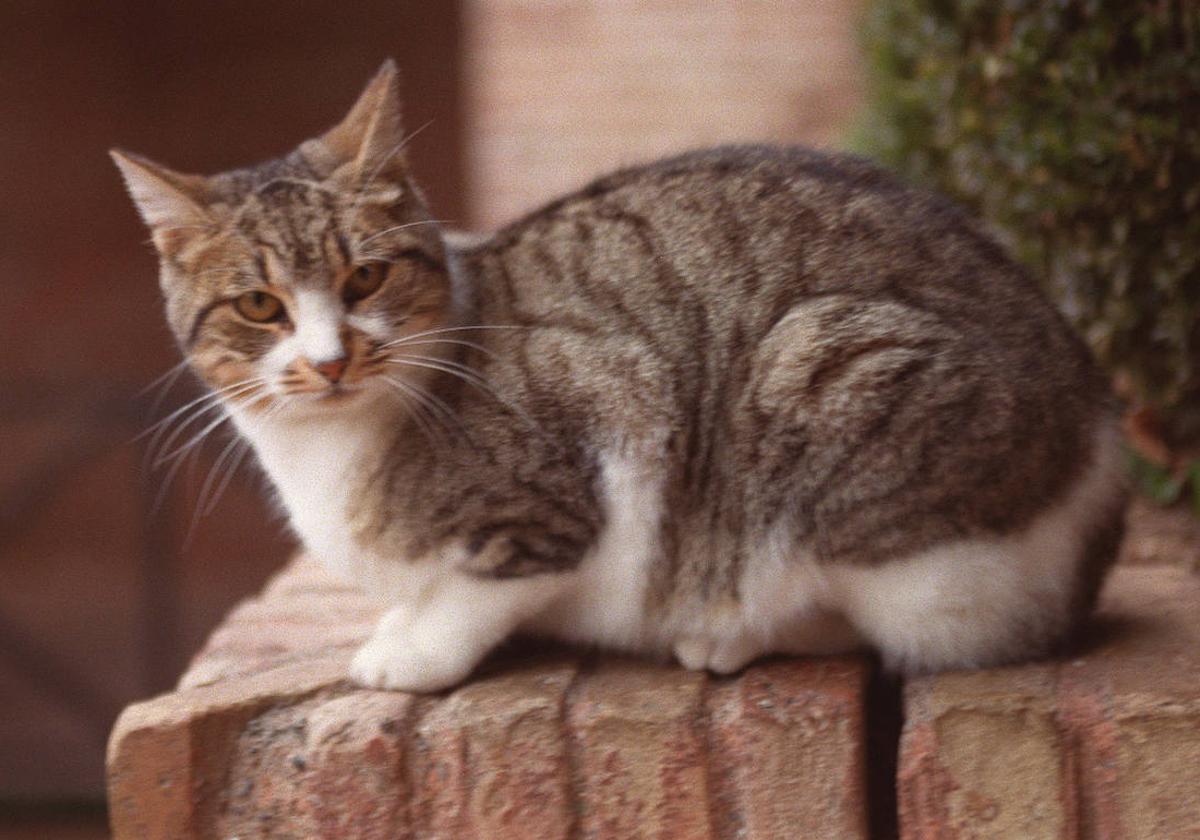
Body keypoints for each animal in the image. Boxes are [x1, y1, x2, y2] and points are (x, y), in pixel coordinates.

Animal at [112, 57, 1123, 691]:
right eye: (260, 307)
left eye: (365, 279)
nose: (329, 360)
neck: (330, 453)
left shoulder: (591, 446)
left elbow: (478, 589)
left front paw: (414, 650)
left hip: (829, 381)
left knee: (906, 617)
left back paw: (728, 632)